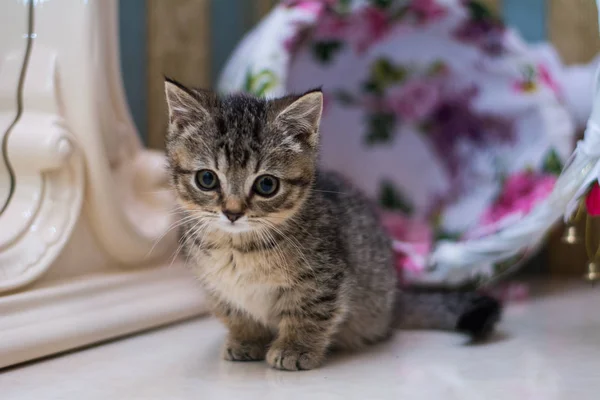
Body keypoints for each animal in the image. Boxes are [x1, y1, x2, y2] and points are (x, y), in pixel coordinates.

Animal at [163, 79, 502, 372]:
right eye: (207, 179)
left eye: (266, 185)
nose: (232, 212)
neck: (239, 248)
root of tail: (395, 302)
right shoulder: (216, 287)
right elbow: (236, 314)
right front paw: (247, 340)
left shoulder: (324, 277)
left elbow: (310, 312)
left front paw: (295, 348)